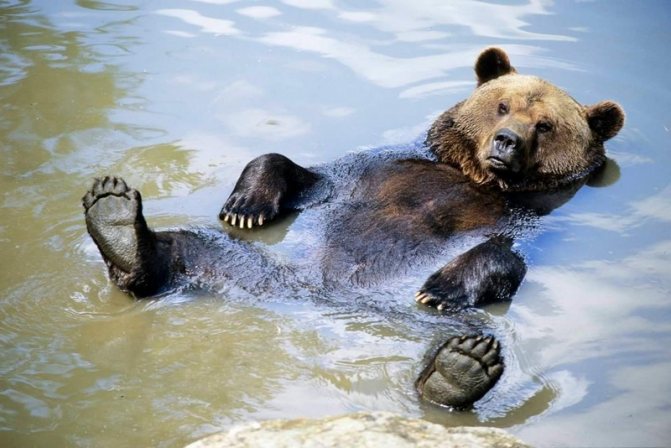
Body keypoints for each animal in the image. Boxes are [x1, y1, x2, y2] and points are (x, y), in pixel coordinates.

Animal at [82, 48, 624, 409]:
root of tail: (318, 296)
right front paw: (245, 206)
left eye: (547, 125)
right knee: (185, 247)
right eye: (503, 106)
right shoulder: (376, 169)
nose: (507, 141)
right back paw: (118, 222)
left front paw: (441, 288)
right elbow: (298, 172)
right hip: (242, 262)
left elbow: (502, 257)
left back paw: (459, 369)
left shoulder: (519, 220)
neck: (472, 175)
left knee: (488, 347)